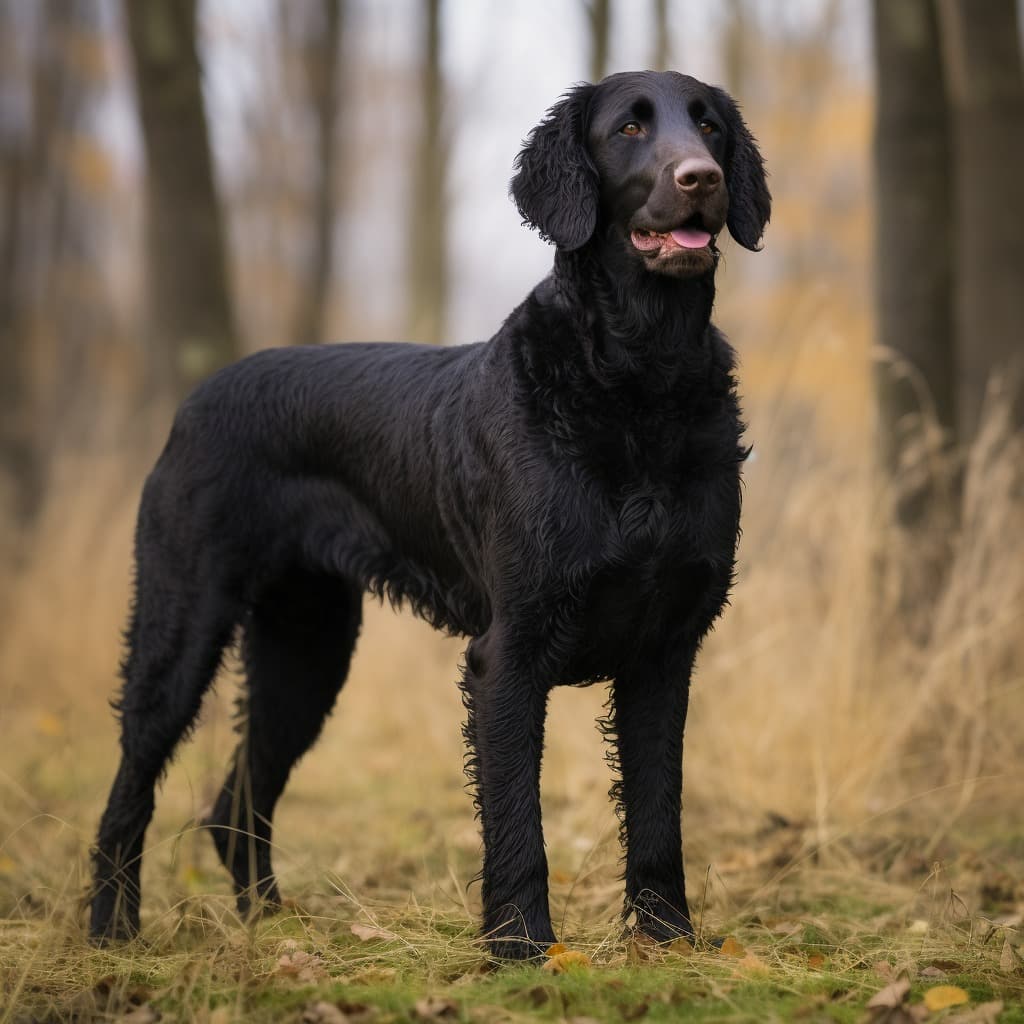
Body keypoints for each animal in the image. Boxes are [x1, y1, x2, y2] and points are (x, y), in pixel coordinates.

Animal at [92, 72, 770, 958]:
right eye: (629, 128)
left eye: (711, 126)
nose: (701, 179)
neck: (639, 384)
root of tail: (194, 401)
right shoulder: (509, 652)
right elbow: (517, 817)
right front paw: (520, 947)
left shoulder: (664, 650)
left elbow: (659, 810)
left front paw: (667, 941)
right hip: (183, 623)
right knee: (131, 787)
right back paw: (110, 929)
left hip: (306, 649)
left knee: (236, 800)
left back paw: (271, 925)